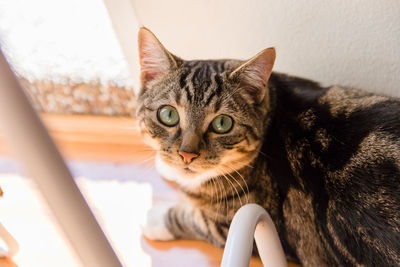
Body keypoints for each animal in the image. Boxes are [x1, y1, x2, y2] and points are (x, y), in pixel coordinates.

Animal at [136, 28, 398, 266]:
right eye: (168, 115)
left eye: (222, 123)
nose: (187, 154)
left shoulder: (239, 227)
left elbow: (196, 220)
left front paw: (155, 218)